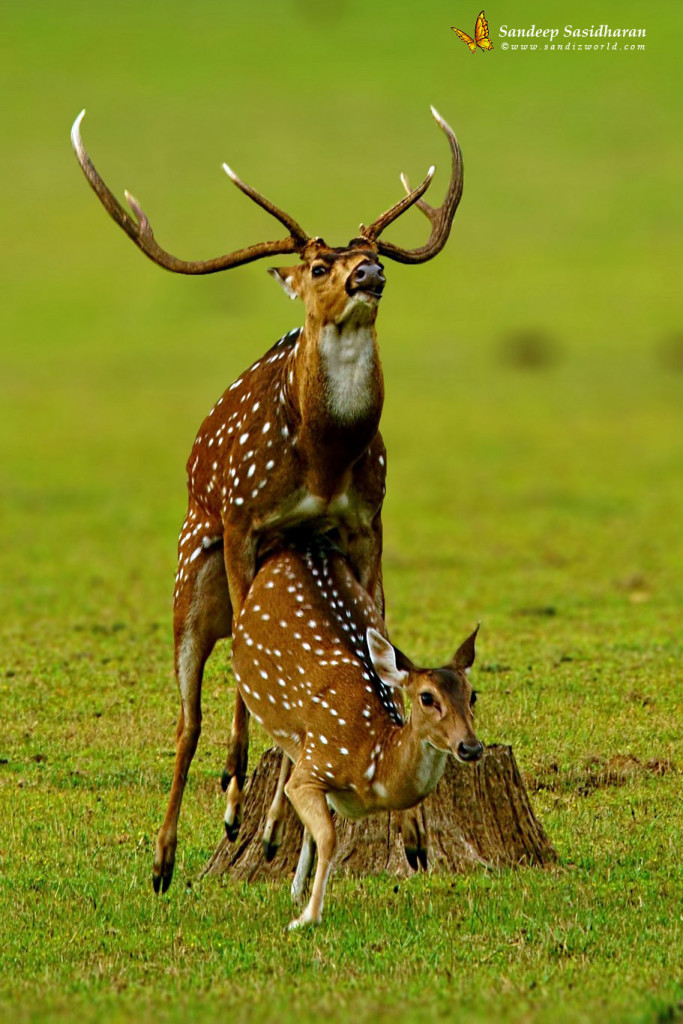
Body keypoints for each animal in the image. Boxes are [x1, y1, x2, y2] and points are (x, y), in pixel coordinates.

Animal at [70, 101, 464, 888]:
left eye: (368, 252)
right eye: (319, 264)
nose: (370, 270)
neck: (323, 459)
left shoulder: (367, 523)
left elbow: (380, 656)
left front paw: (411, 836)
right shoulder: (243, 517)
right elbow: (247, 689)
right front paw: (245, 807)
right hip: (191, 576)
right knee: (189, 712)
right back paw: (169, 854)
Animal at [232, 540, 483, 933]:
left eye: (472, 695)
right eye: (427, 697)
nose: (470, 746)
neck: (373, 762)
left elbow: (318, 835)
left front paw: (299, 896)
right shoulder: (316, 764)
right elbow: (328, 837)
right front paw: (306, 917)